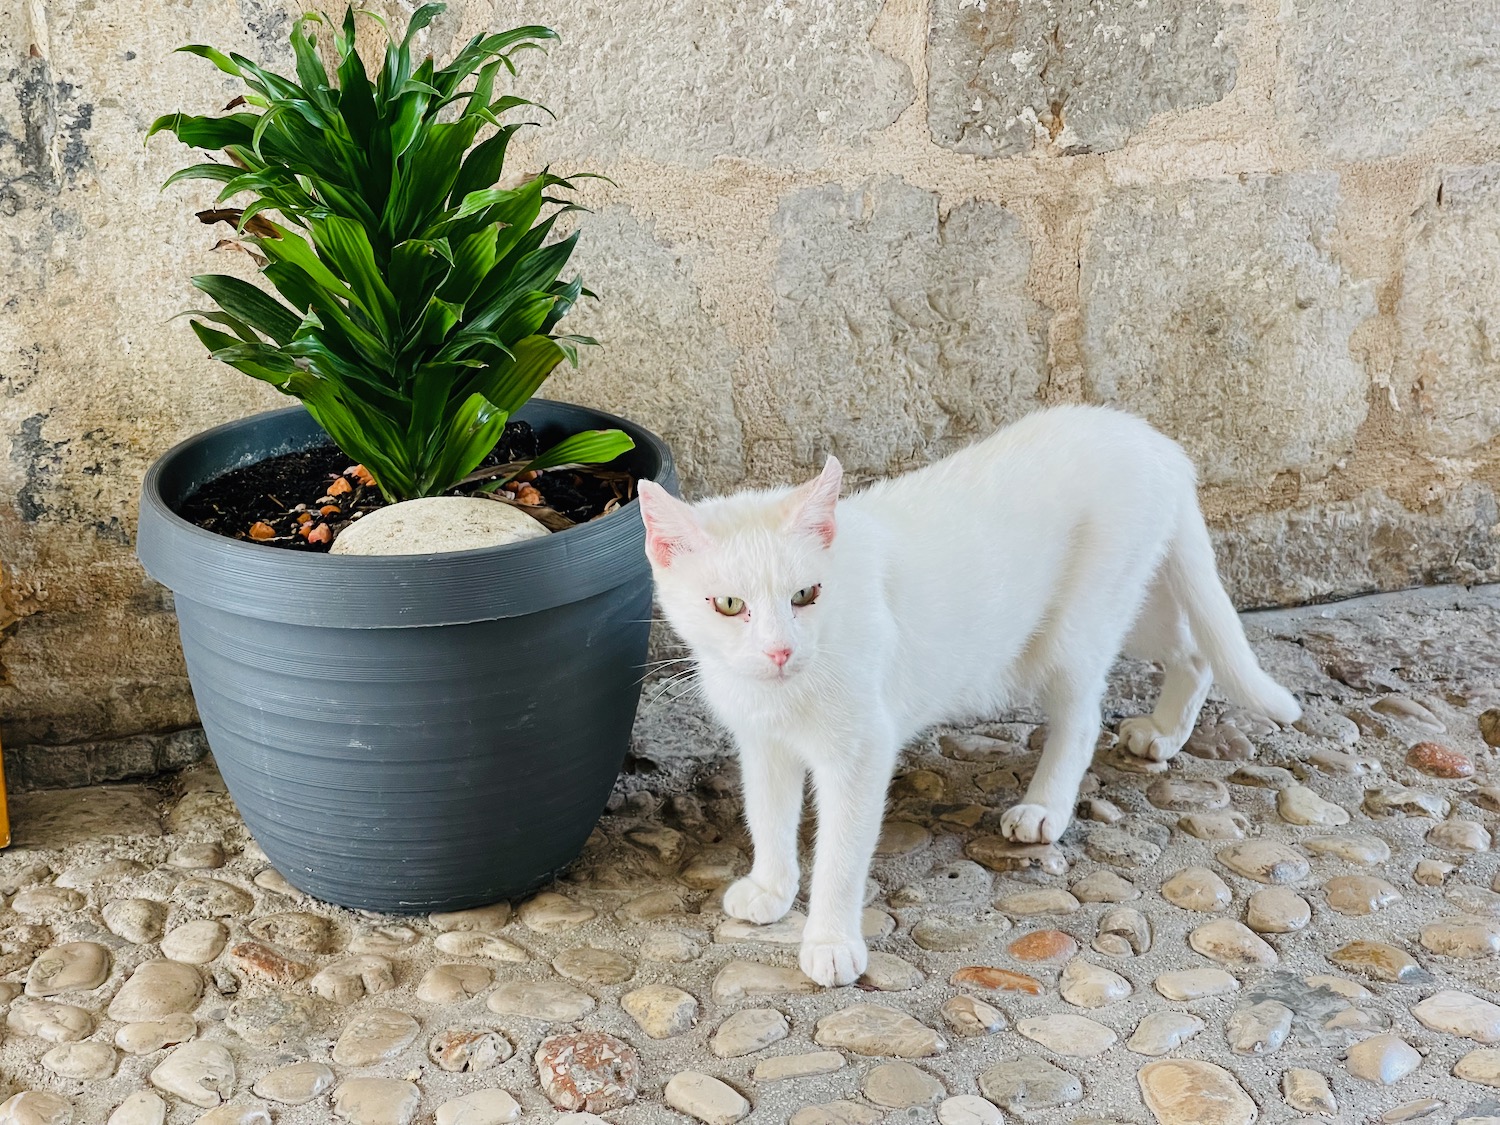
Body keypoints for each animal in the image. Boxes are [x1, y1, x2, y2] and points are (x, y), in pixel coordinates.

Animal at [639, 405, 1308, 984]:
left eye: (806, 595)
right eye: (729, 605)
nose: (779, 651)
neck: (784, 691)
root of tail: (1151, 438)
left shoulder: (861, 750)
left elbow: (840, 852)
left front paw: (830, 941)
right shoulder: (764, 745)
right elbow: (768, 816)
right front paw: (772, 888)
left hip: (1072, 631)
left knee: (1085, 715)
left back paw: (1044, 807)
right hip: (1133, 604)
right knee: (1194, 653)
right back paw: (1166, 731)